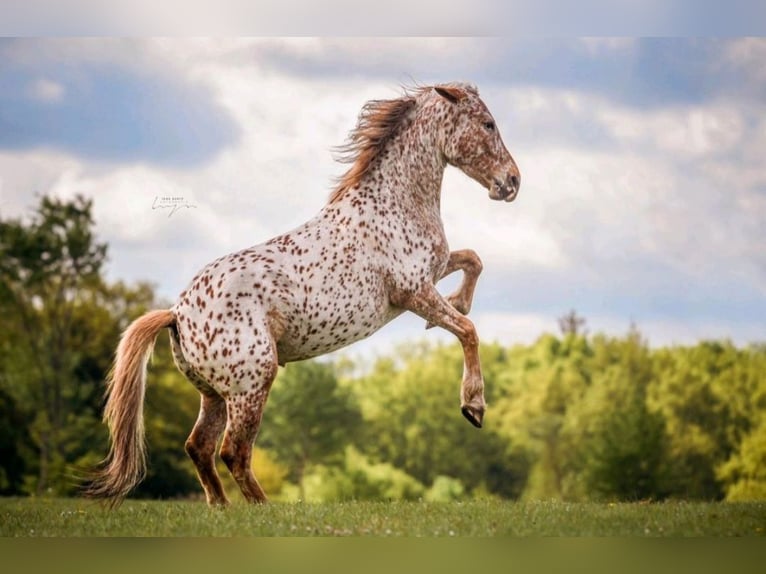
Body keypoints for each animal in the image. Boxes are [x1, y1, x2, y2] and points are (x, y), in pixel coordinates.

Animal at [88, 82, 520, 508]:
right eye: (488, 123)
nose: (513, 182)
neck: (393, 205)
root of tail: (177, 313)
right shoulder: (412, 290)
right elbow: (467, 329)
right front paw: (473, 406)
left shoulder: (430, 273)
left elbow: (472, 261)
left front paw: (458, 303)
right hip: (252, 383)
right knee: (234, 451)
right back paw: (264, 509)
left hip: (213, 394)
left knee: (199, 448)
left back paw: (221, 508)